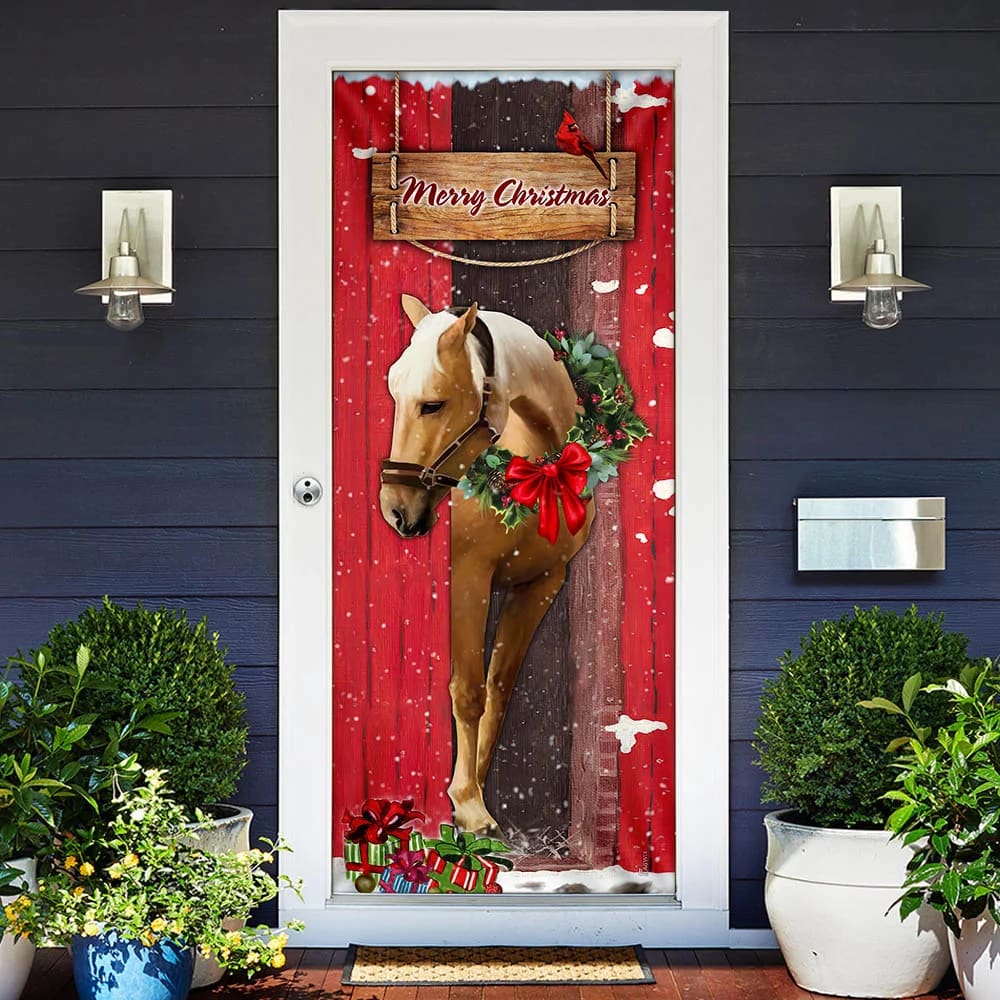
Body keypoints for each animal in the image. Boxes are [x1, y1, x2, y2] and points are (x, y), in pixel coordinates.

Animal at [379, 295, 596, 835]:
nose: (396, 510)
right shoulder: (468, 580)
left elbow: (498, 685)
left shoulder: (541, 583)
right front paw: (469, 806)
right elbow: (468, 690)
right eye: (394, 393)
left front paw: (467, 800)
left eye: (433, 404)